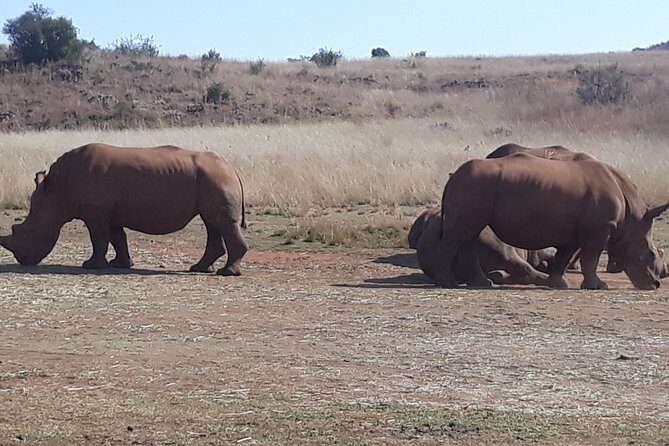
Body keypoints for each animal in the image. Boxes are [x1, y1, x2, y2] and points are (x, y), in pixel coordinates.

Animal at [0, 143, 248, 275]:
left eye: (30, 231)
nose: (23, 260)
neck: (57, 191)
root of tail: (232, 168)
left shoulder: (95, 210)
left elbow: (99, 238)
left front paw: (91, 265)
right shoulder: (109, 211)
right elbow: (117, 237)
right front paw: (120, 265)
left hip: (215, 178)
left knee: (221, 222)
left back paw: (226, 273)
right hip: (211, 178)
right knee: (211, 222)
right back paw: (199, 268)